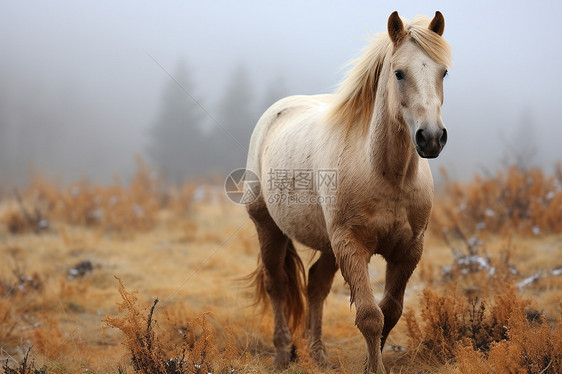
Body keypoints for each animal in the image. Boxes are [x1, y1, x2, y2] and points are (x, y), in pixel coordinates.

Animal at [244, 10, 450, 372]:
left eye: (444, 72)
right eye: (399, 73)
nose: (431, 137)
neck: (386, 175)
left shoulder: (408, 251)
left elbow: (390, 312)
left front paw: (372, 362)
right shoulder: (351, 245)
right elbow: (369, 316)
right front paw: (374, 368)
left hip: (328, 245)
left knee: (315, 287)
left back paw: (319, 355)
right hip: (269, 227)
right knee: (277, 285)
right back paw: (282, 354)